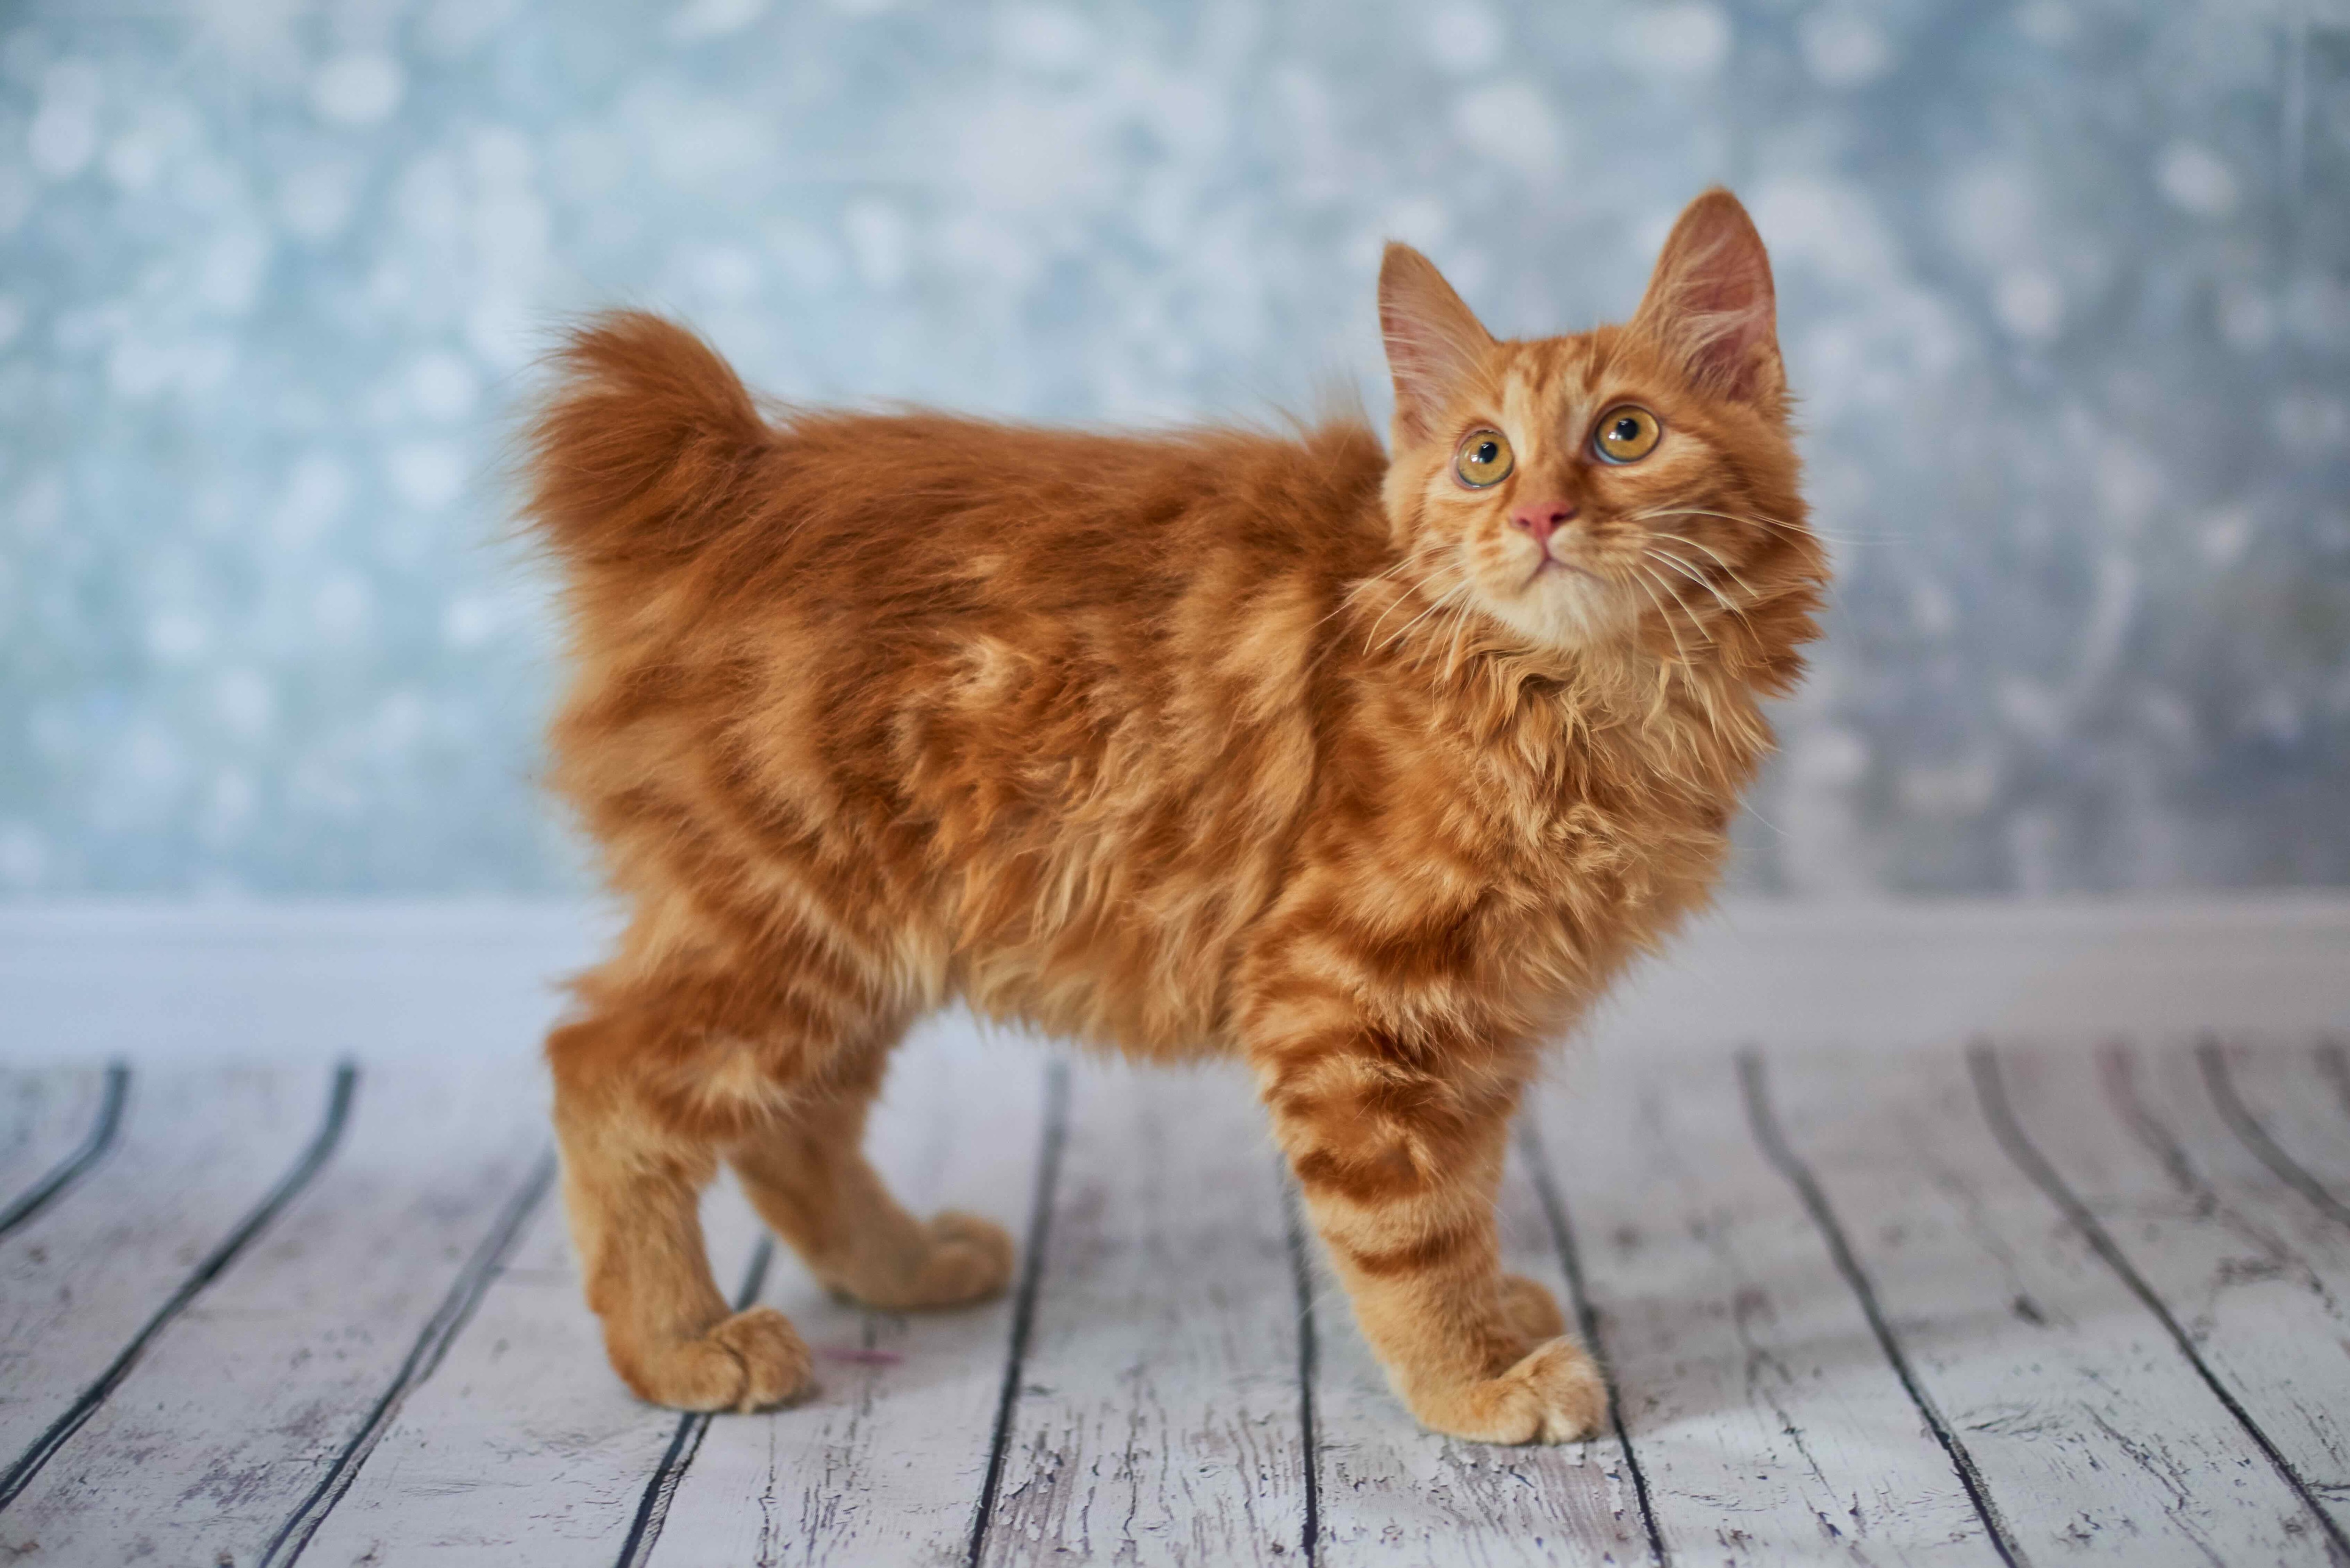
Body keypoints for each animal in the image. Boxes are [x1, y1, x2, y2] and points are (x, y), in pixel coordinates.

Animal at [529, 190, 1814, 1438]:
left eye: (1625, 434)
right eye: (1483, 457)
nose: (1539, 515)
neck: (1580, 698)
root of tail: (737, 467)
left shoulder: (1479, 1014)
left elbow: (1467, 1184)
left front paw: (1495, 1314)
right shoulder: (1338, 993)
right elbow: (1410, 1226)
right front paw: (1474, 1380)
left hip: (864, 944)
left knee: (792, 1129)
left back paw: (900, 1266)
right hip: (788, 921)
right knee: (604, 1079)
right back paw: (682, 1344)